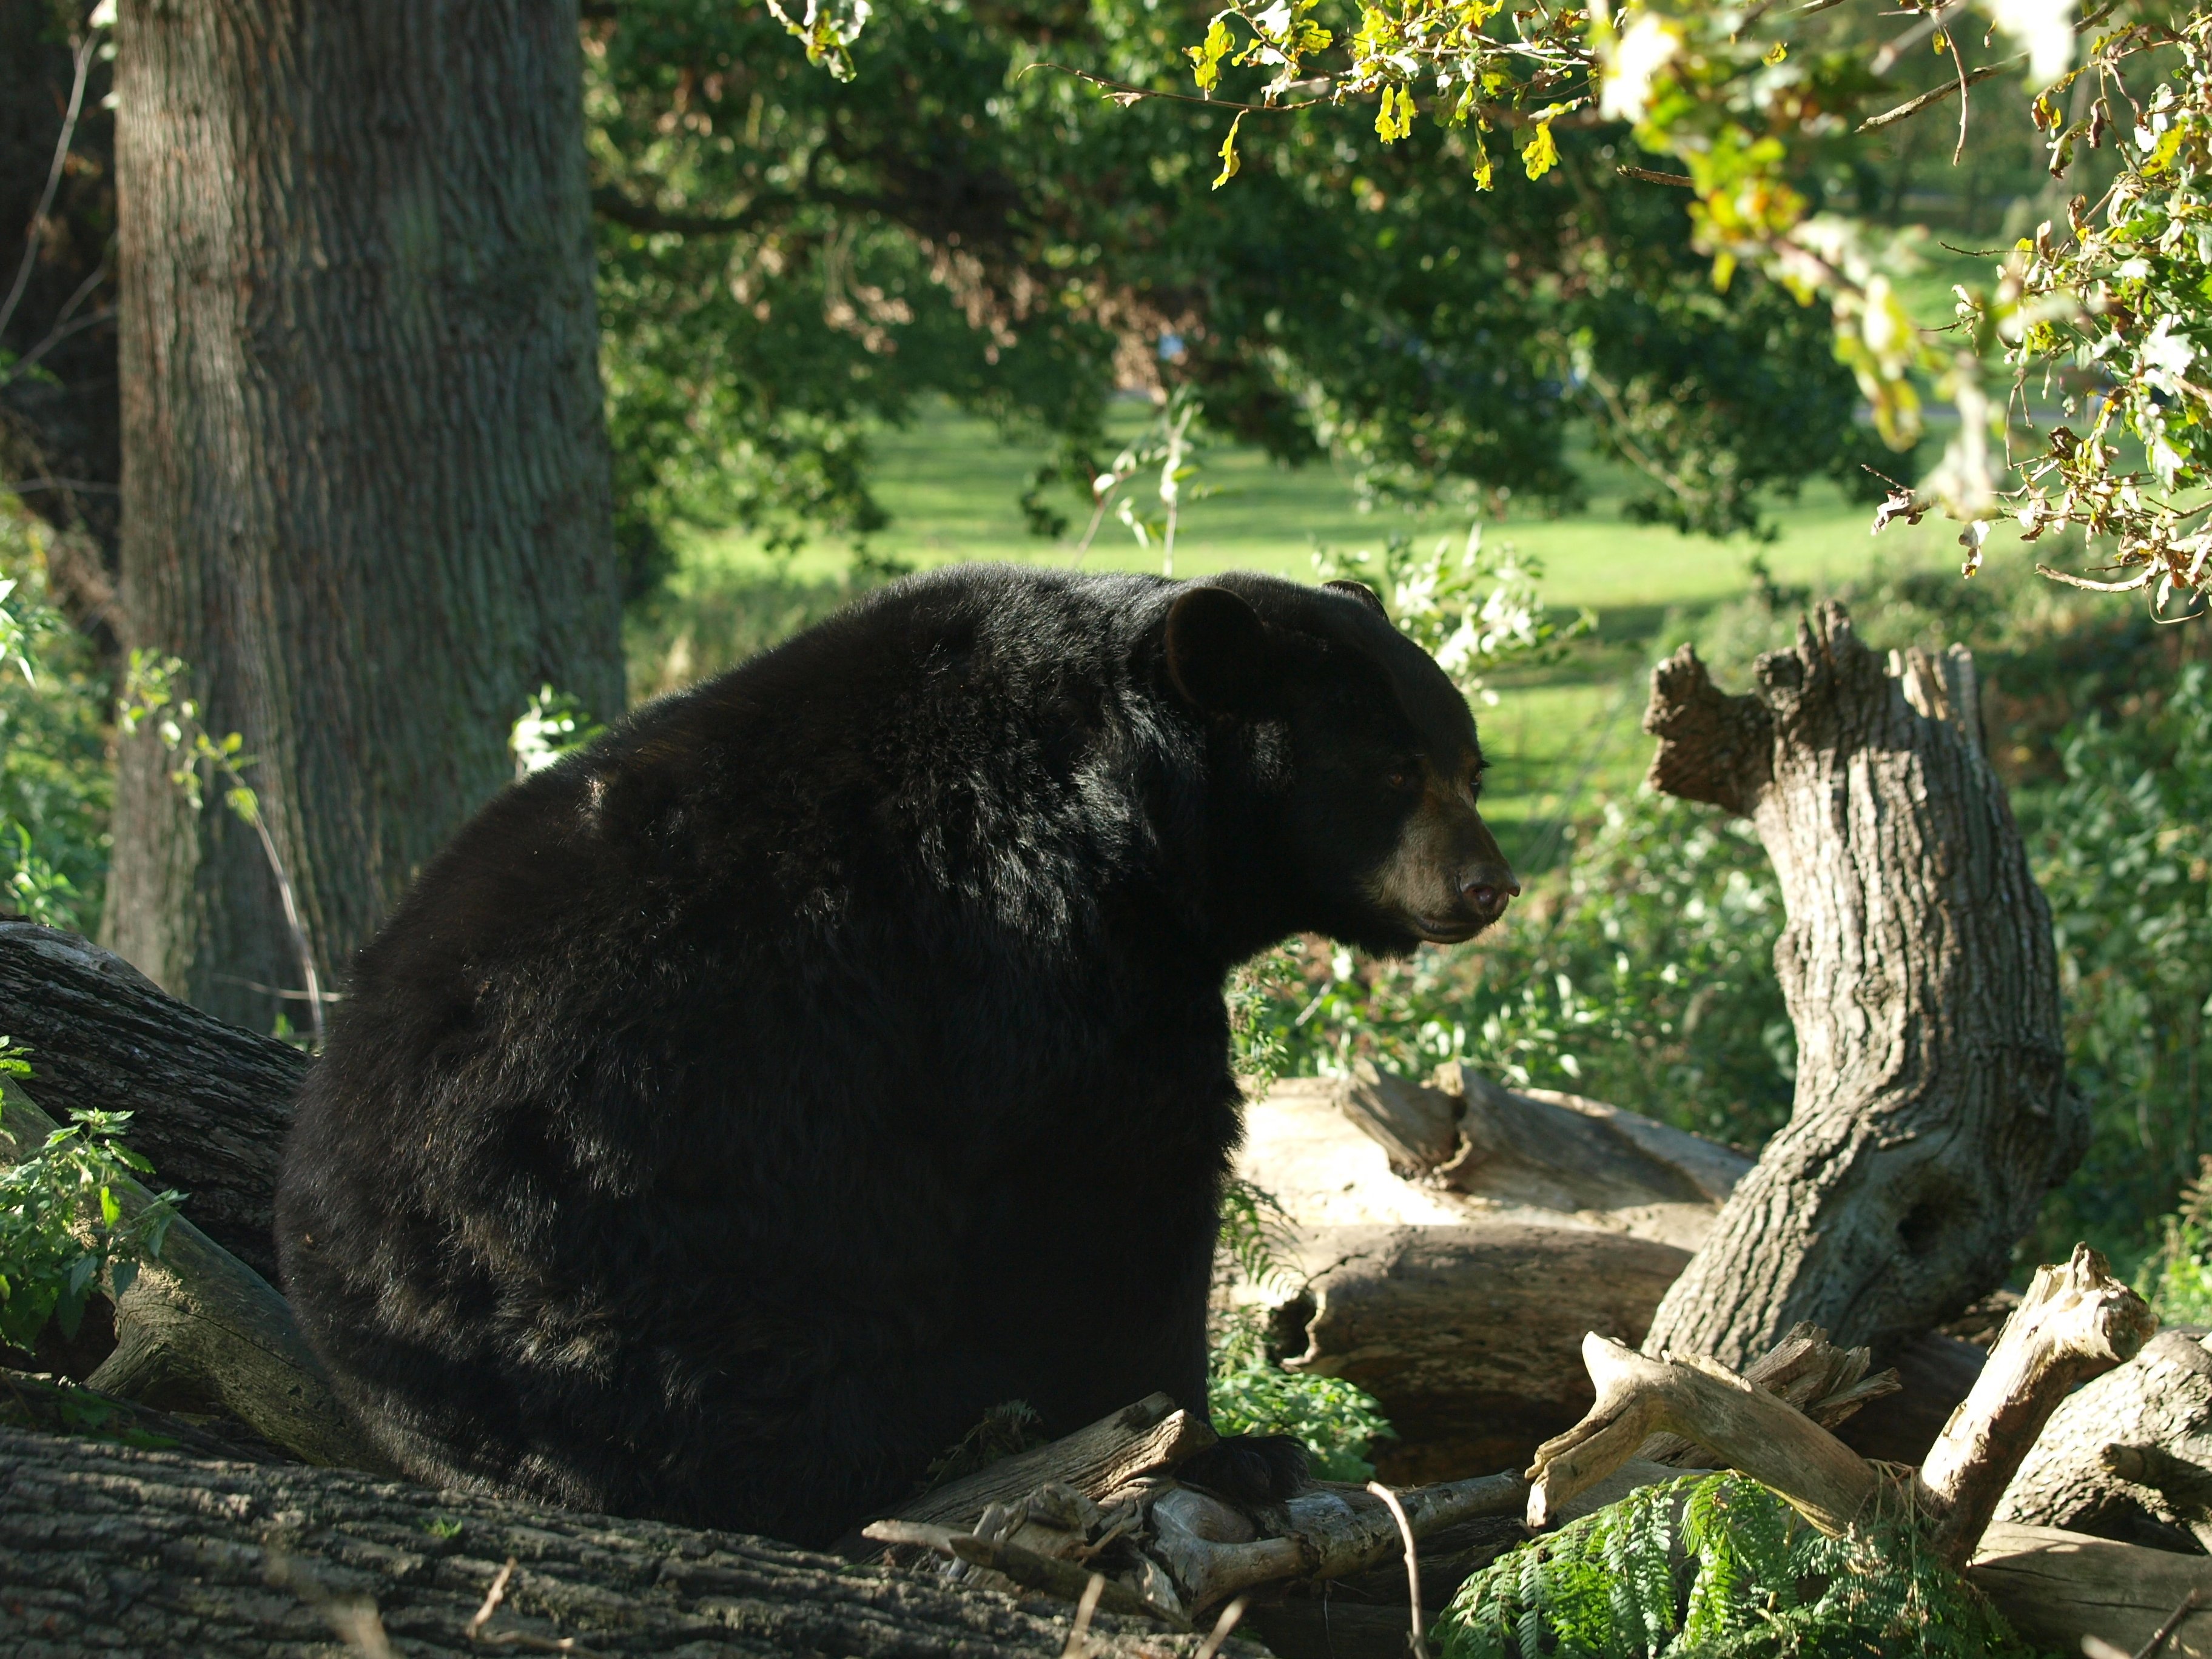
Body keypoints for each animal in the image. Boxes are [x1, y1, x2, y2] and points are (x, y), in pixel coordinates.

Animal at [275, 564, 1518, 1548]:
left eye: (1470, 766)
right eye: (1392, 771)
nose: (1486, 887)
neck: (1134, 810)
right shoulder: (1042, 957)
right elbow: (1110, 1199)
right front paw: (1230, 1447)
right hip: (655, 1263)